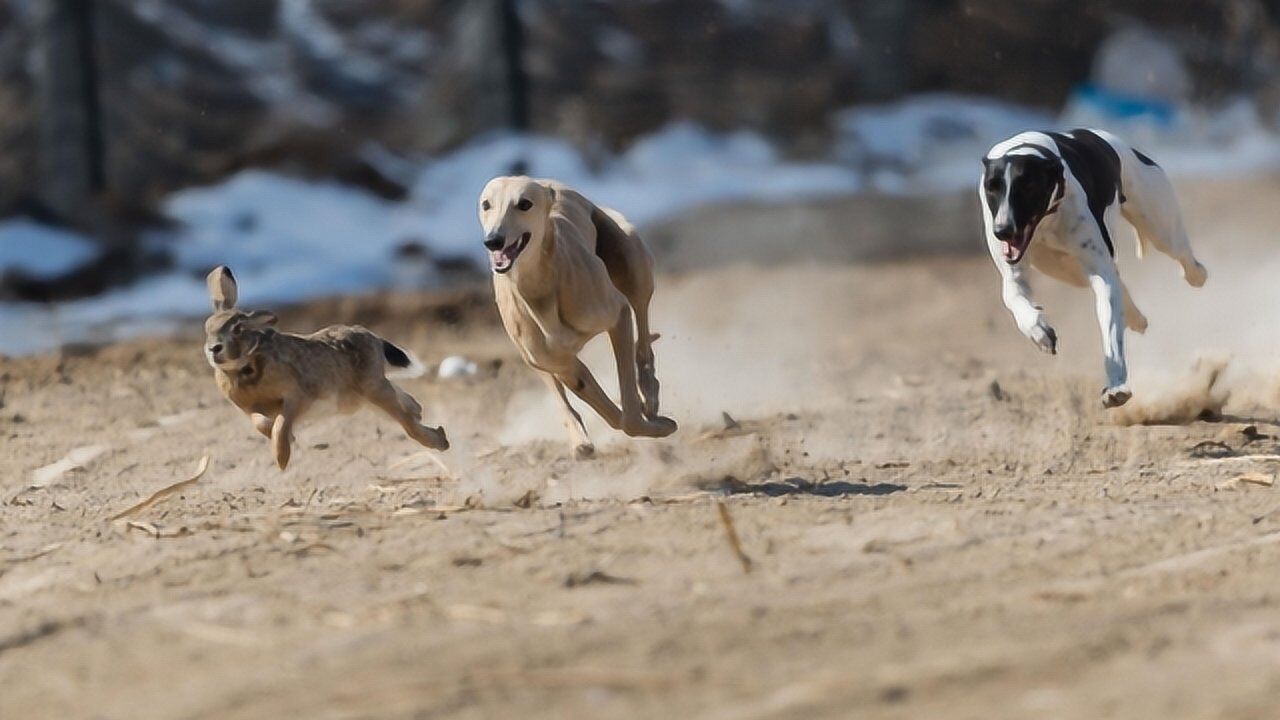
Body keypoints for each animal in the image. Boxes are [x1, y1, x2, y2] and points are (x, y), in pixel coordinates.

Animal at [481, 176, 680, 453]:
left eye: (524, 204)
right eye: (486, 204)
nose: (493, 240)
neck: (540, 289)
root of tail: (551, 183)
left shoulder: (618, 314)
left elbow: (628, 413)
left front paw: (657, 423)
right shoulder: (563, 364)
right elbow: (611, 413)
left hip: (632, 261)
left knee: (641, 327)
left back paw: (649, 390)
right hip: (536, 359)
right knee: (561, 393)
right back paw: (580, 440)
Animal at [983, 128, 1203, 407]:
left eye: (1028, 186)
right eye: (992, 187)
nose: (1002, 230)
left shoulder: (1099, 273)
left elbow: (1110, 330)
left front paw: (1116, 386)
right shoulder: (1014, 273)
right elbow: (1015, 297)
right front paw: (1039, 331)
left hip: (1161, 228)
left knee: (1183, 256)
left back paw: (1196, 274)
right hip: (1068, 270)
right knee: (1119, 283)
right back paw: (1135, 317)